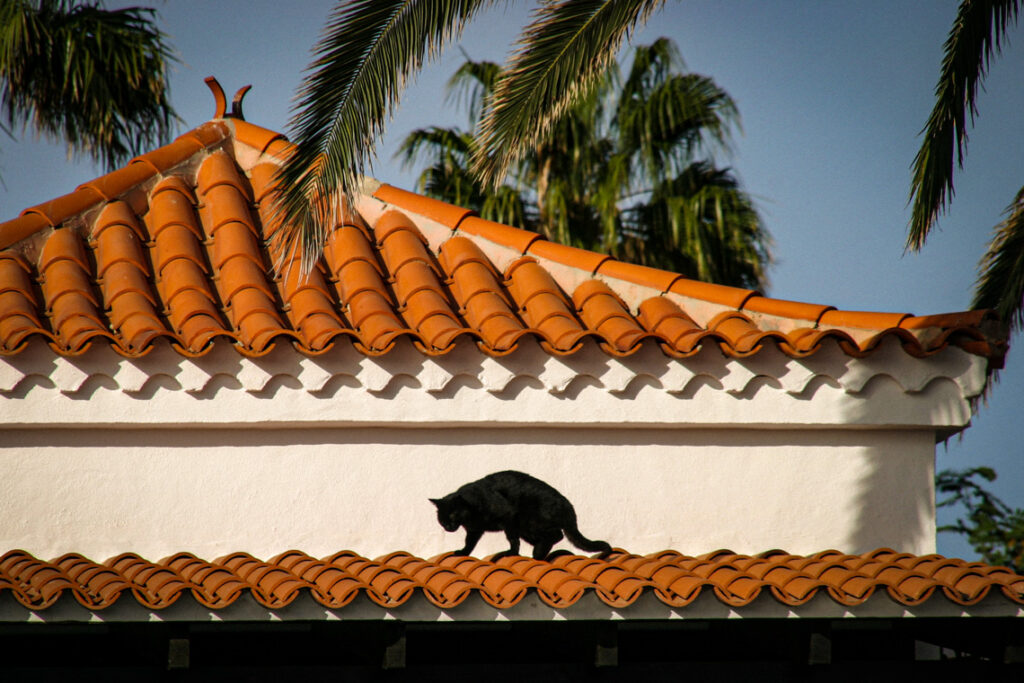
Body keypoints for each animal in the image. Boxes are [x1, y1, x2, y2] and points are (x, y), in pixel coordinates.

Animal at [430, 471, 610, 561]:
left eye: (453, 514)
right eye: (441, 519)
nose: (448, 527)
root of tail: (567, 504)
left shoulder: (508, 516)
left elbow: (512, 540)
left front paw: (511, 553)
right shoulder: (474, 530)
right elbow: (469, 543)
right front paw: (463, 552)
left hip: (529, 522)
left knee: (556, 534)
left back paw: (537, 553)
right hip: (527, 530)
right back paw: (540, 554)